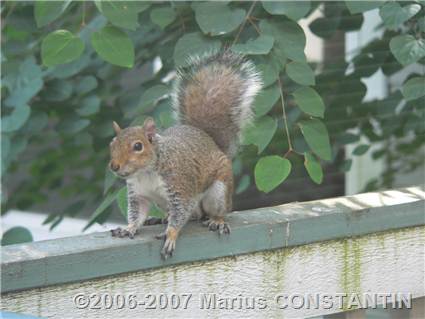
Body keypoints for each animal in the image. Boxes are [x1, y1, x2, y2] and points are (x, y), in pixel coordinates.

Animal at [108, 50, 262, 260]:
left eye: (138, 146)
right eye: (112, 144)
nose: (114, 166)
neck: (146, 173)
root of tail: (211, 142)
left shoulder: (180, 185)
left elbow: (180, 212)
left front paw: (171, 235)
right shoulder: (138, 193)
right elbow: (137, 213)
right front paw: (129, 228)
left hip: (219, 191)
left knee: (213, 211)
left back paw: (217, 220)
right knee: (193, 215)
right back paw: (160, 219)